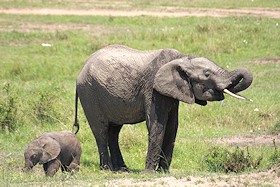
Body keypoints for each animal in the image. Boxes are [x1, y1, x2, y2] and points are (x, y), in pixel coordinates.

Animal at [73, 43, 253, 172]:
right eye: (207, 74)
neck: (181, 58)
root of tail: (81, 70)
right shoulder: (153, 90)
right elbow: (157, 125)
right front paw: (148, 173)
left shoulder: (172, 93)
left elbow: (172, 127)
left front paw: (163, 172)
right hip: (89, 93)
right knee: (101, 130)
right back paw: (107, 169)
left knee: (114, 131)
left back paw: (122, 169)